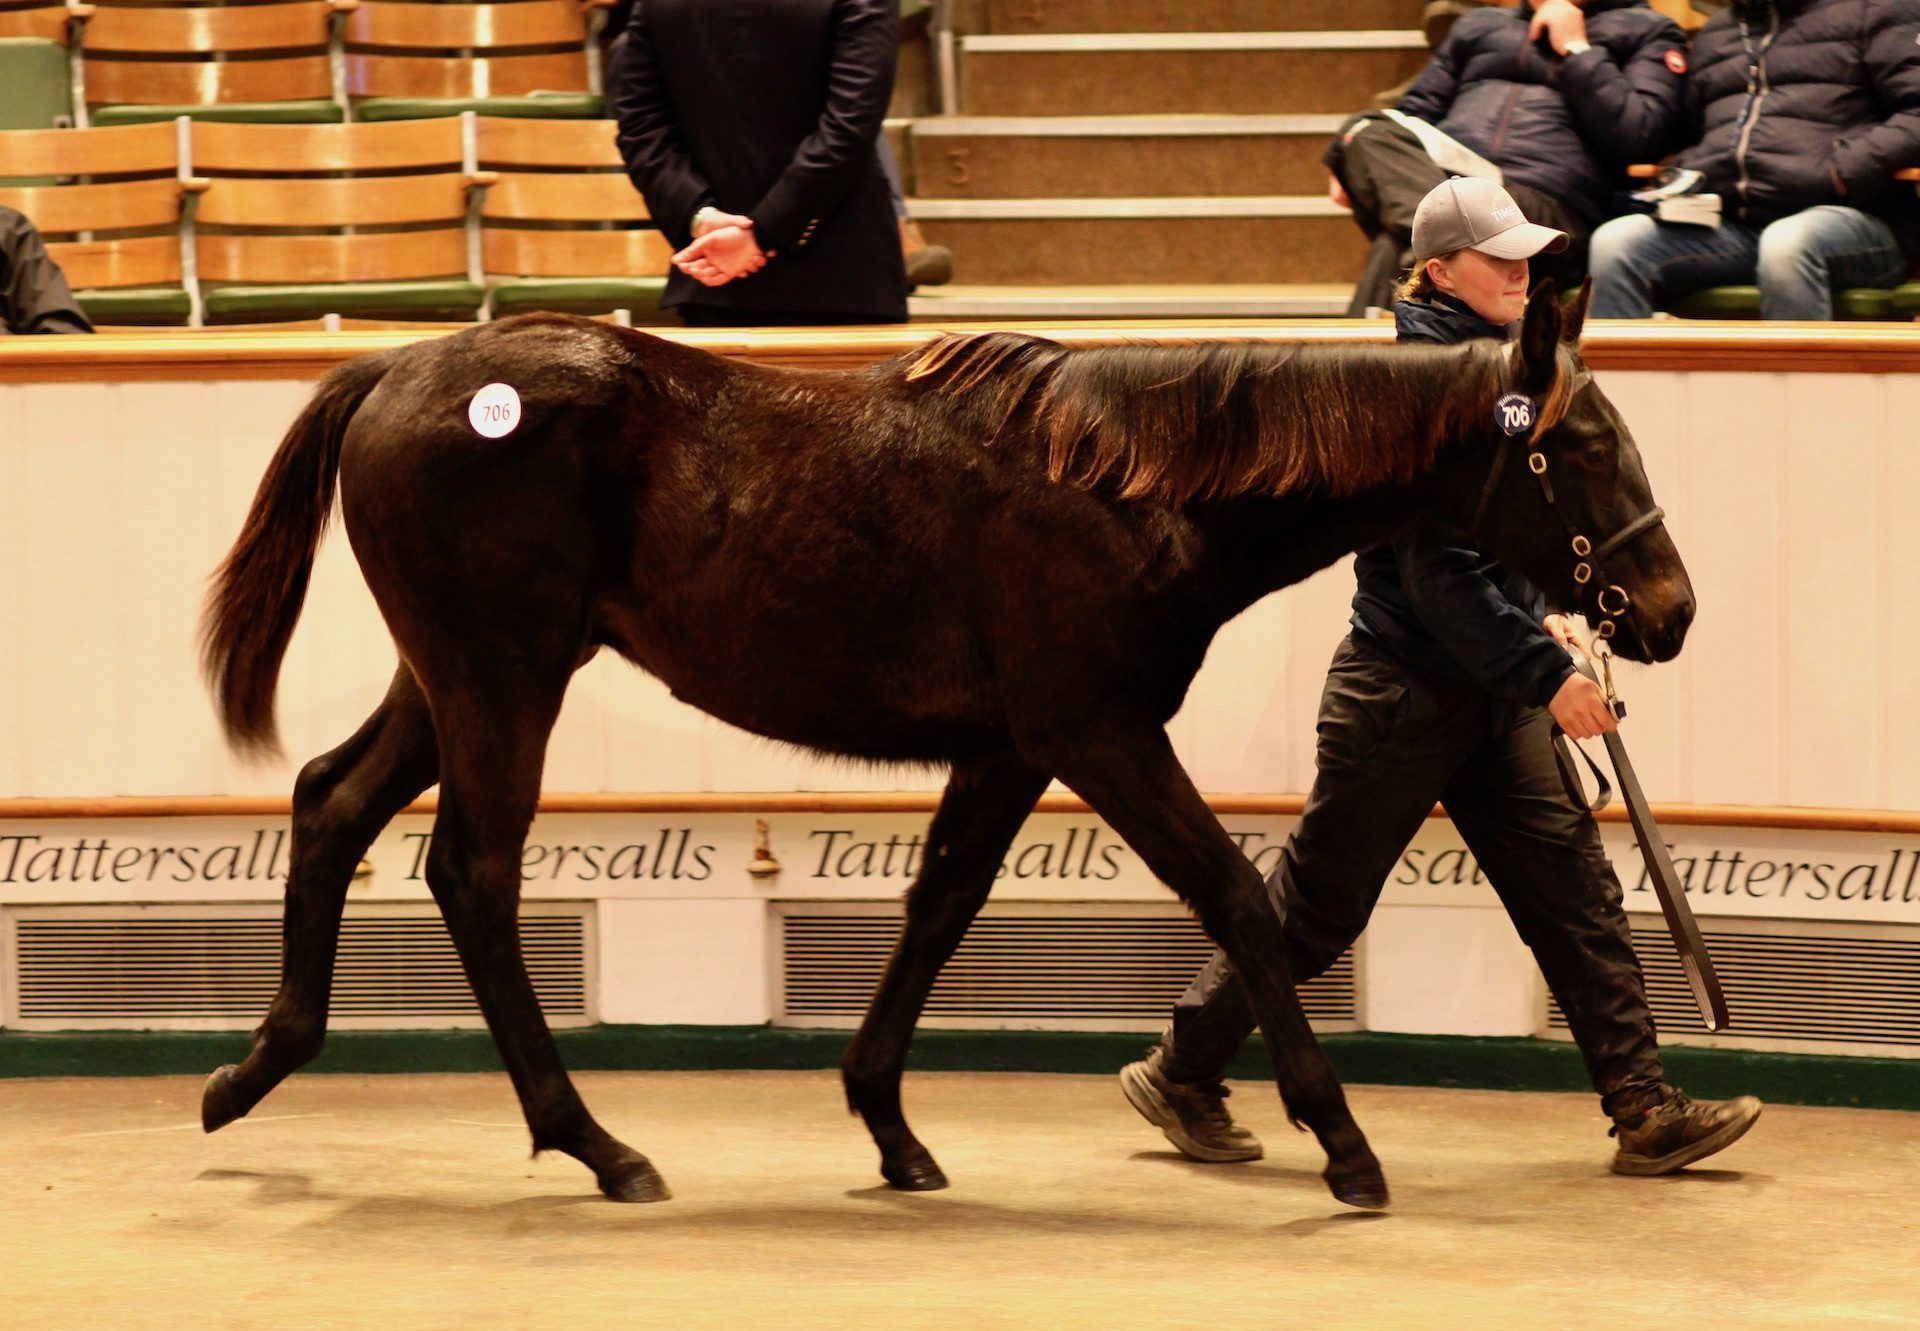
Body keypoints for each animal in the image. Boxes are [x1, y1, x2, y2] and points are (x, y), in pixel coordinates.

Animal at [198, 286, 1697, 1206]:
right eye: (1583, 448)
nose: (1669, 609)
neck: (1123, 483)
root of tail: (395, 367)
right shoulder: (1100, 730)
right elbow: (1236, 899)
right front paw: (1346, 1147)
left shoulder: (1011, 745)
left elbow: (941, 905)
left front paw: (892, 1126)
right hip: (500, 679)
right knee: (475, 872)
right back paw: (598, 1143)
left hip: (460, 678)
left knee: (332, 801)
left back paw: (250, 1071)